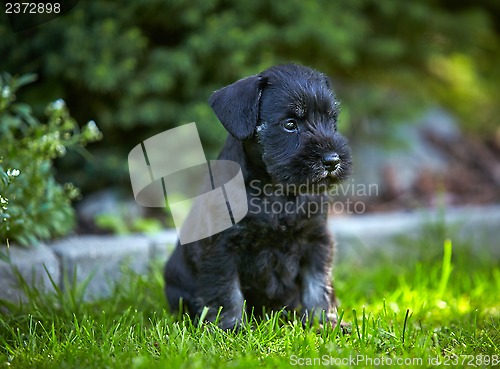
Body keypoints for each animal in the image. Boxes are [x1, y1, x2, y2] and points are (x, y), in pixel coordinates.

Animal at [164, 64, 352, 330]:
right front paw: (232, 328)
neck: (277, 191)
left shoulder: (316, 239)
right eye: (290, 123)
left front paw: (324, 322)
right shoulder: (222, 248)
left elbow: (317, 285)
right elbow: (226, 291)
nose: (332, 160)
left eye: (331, 120)